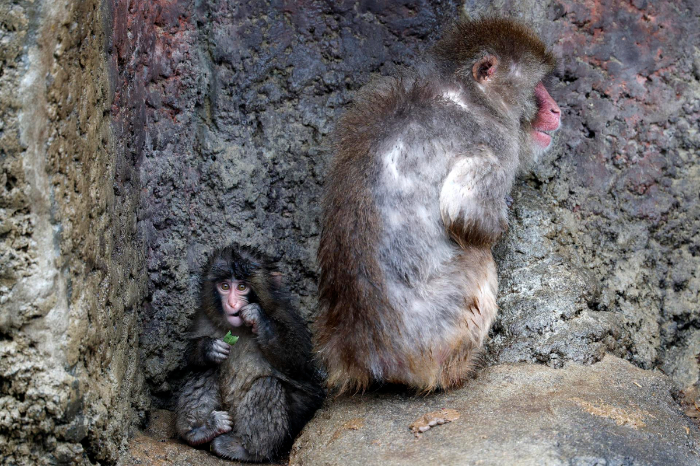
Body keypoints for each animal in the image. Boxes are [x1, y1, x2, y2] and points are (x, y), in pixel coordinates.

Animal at [175, 244, 324, 462]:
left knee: (267, 384)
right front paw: (209, 348)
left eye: (242, 287)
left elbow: (300, 363)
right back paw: (200, 431)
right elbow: (189, 359)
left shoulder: (287, 317)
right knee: (205, 369)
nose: (232, 304)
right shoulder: (203, 318)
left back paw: (246, 450)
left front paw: (259, 319)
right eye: (225, 286)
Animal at [315, 18, 561, 393]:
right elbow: (466, 214)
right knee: (477, 259)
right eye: (538, 87)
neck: (470, 96)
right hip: (438, 336)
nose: (556, 110)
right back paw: (459, 370)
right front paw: (500, 220)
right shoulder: (495, 142)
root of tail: (364, 356)